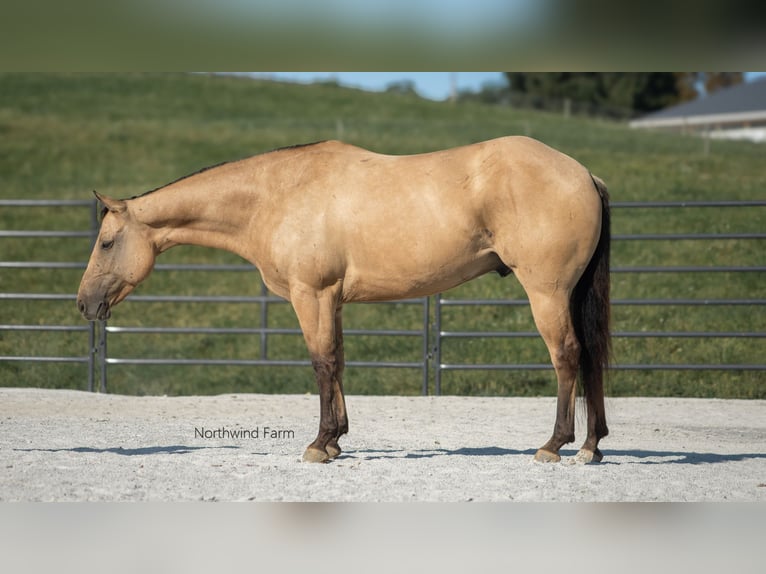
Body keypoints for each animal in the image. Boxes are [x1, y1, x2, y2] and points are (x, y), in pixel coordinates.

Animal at [75, 137, 608, 466]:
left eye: (106, 242)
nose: (84, 304)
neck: (276, 195)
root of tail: (584, 173)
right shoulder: (332, 299)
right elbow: (339, 360)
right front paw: (336, 441)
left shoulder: (311, 294)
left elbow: (321, 362)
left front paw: (319, 443)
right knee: (591, 359)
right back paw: (592, 446)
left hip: (547, 293)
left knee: (567, 356)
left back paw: (555, 446)